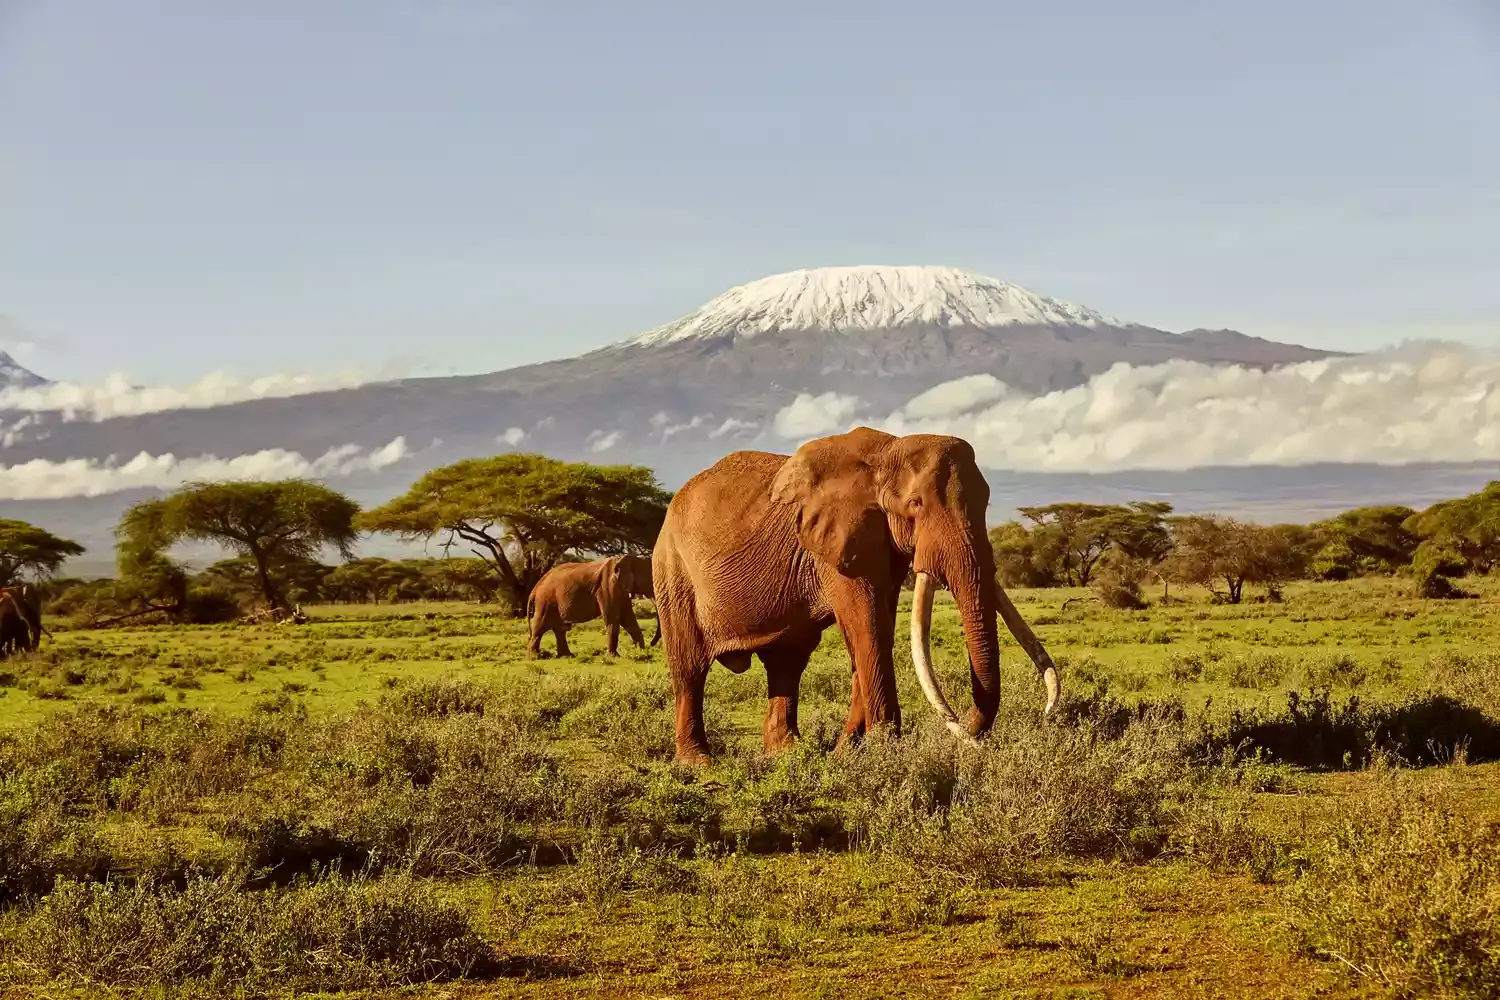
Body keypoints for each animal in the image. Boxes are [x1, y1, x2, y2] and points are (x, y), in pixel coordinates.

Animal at [531, 551, 660, 659]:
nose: (651, 644)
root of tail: (536, 587)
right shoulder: (607, 586)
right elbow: (613, 618)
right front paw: (613, 657)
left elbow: (628, 618)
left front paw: (641, 652)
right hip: (545, 601)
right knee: (540, 627)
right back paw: (535, 657)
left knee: (559, 629)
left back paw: (567, 656)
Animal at [651, 425, 1062, 767]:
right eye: (916, 504)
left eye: (986, 503)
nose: (970, 734)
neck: (887, 451)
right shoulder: (835, 541)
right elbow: (867, 623)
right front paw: (884, 751)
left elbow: (877, 626)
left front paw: (847, 754)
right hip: (672, 570)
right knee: (689, 667)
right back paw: (698, 764)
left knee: (787, 663)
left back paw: (786, 755)